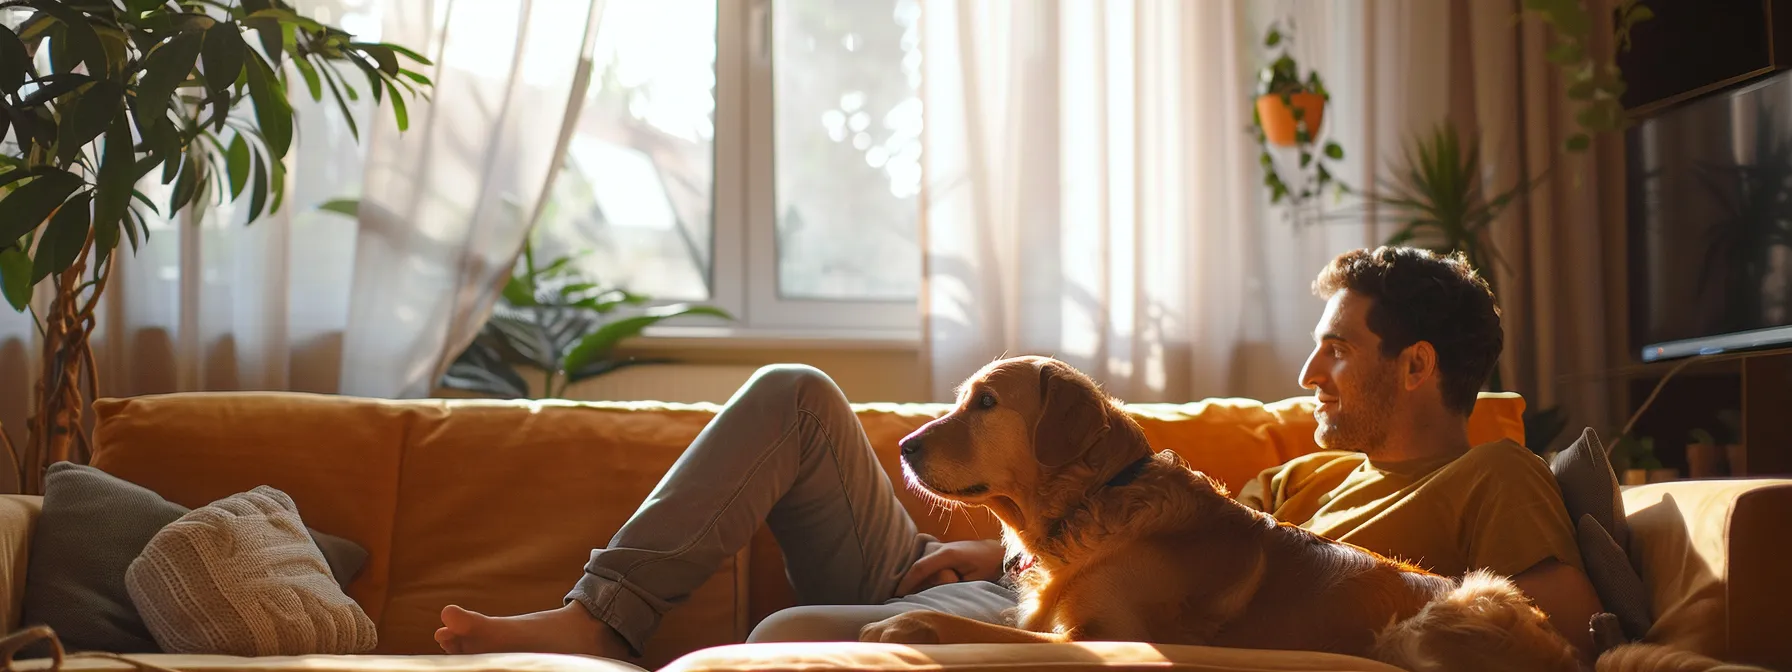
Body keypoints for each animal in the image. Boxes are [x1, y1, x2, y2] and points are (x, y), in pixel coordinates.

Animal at [867, 354, 1584, 670]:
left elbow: (980, 629)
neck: (1093, 503)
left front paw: (911, 626)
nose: (903, 448)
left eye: (986, 403)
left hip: (1445, 617)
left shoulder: (1107, 633)